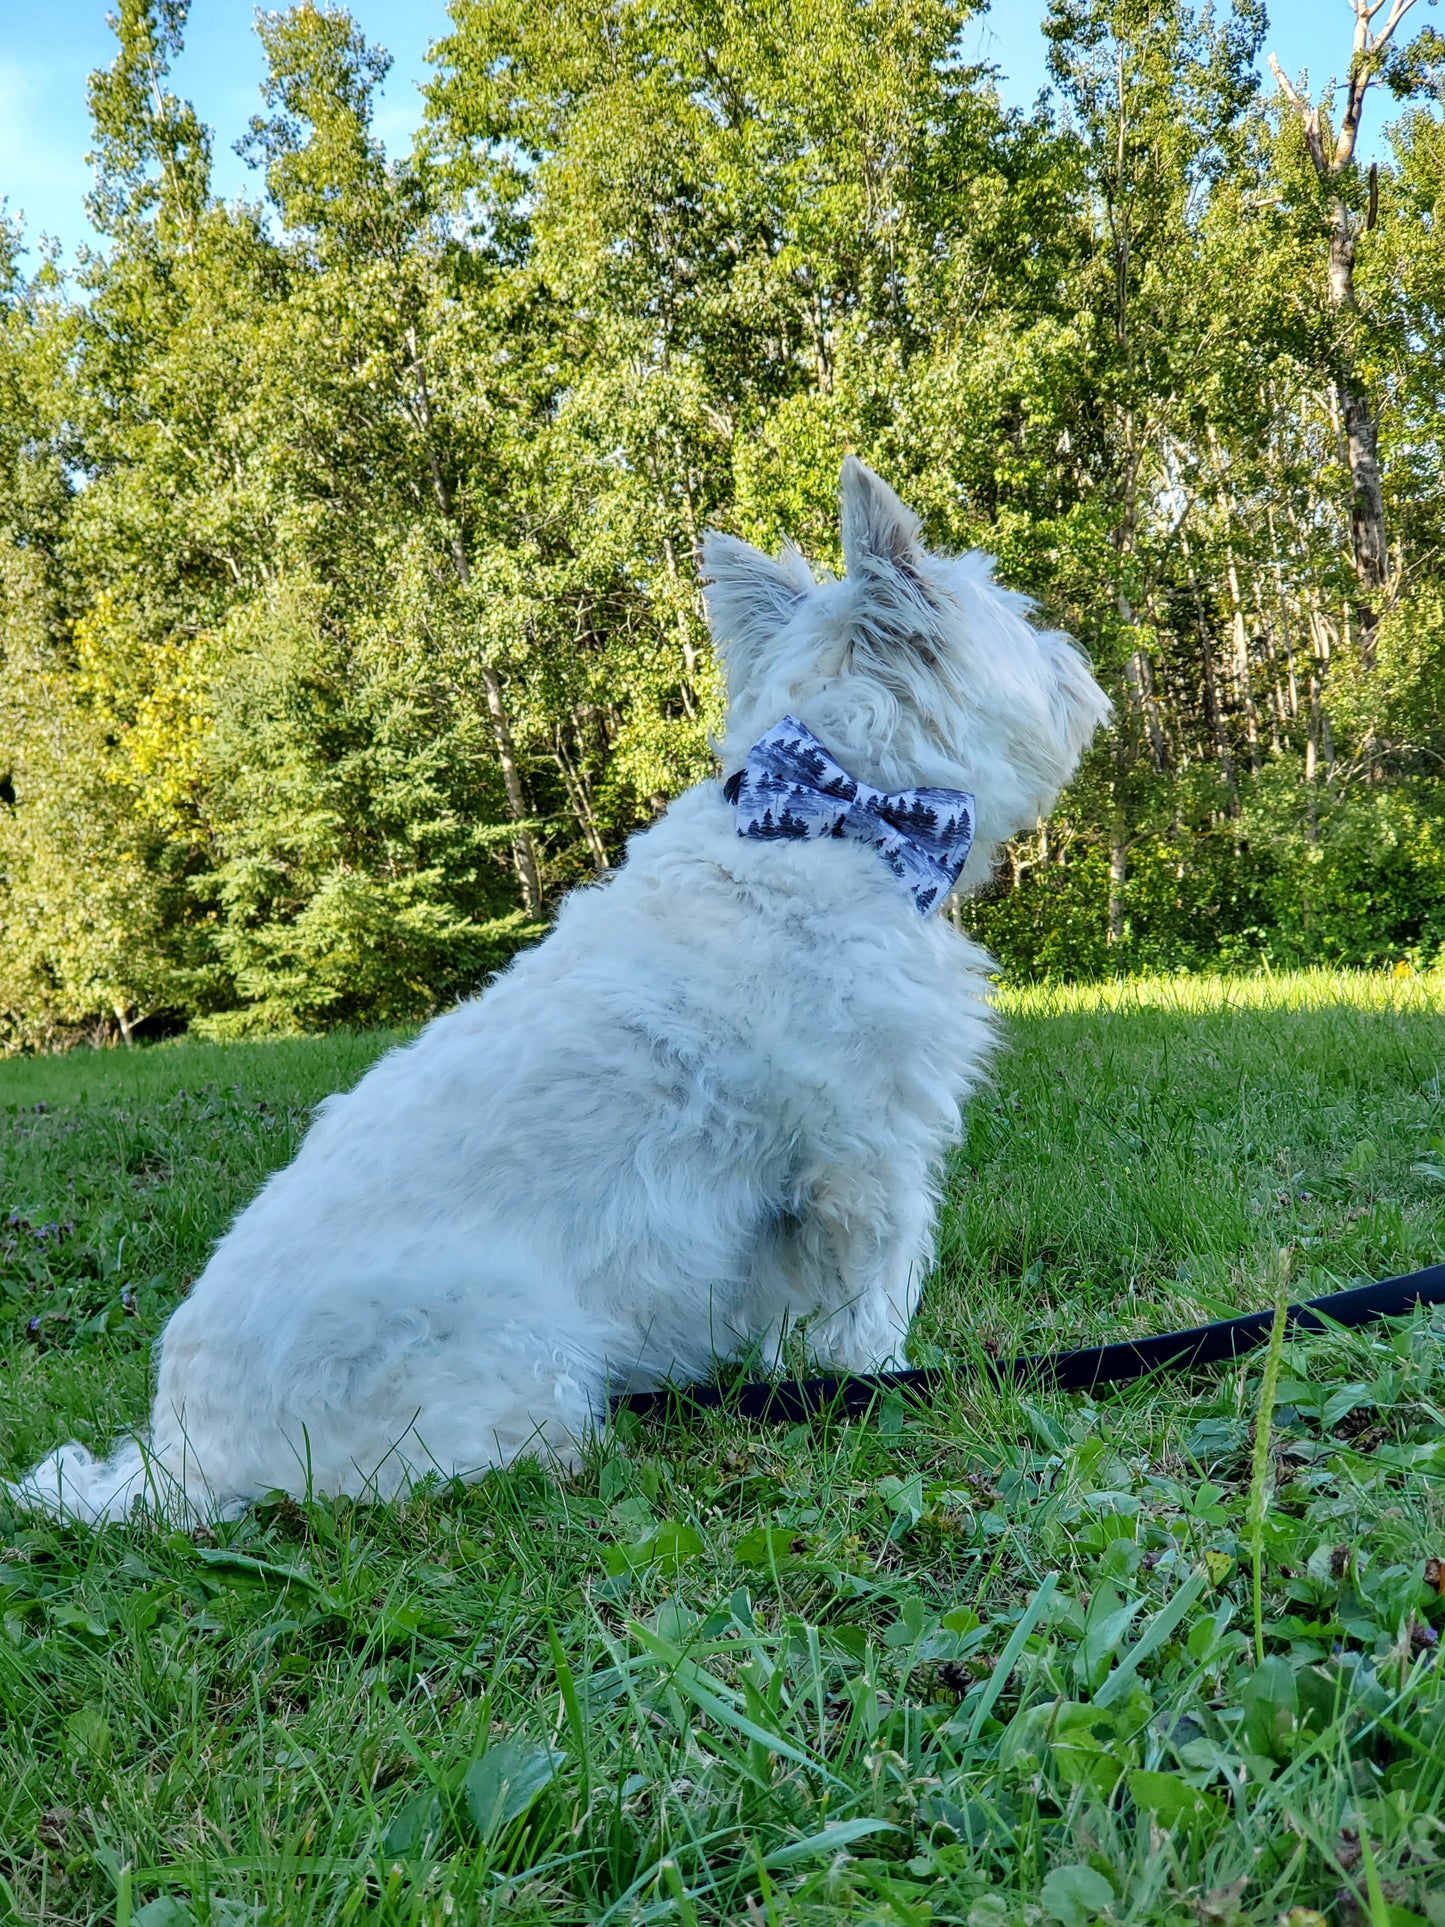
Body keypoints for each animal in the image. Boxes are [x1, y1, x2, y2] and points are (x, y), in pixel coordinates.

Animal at [8, 462, 1109, 1518]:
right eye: (1013, 609)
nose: (1077, 660)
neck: (836, 817)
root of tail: (178, 1461)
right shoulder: (863, 1161)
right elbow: (864, 1304)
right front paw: (876, 1381)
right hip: (511, 1354)